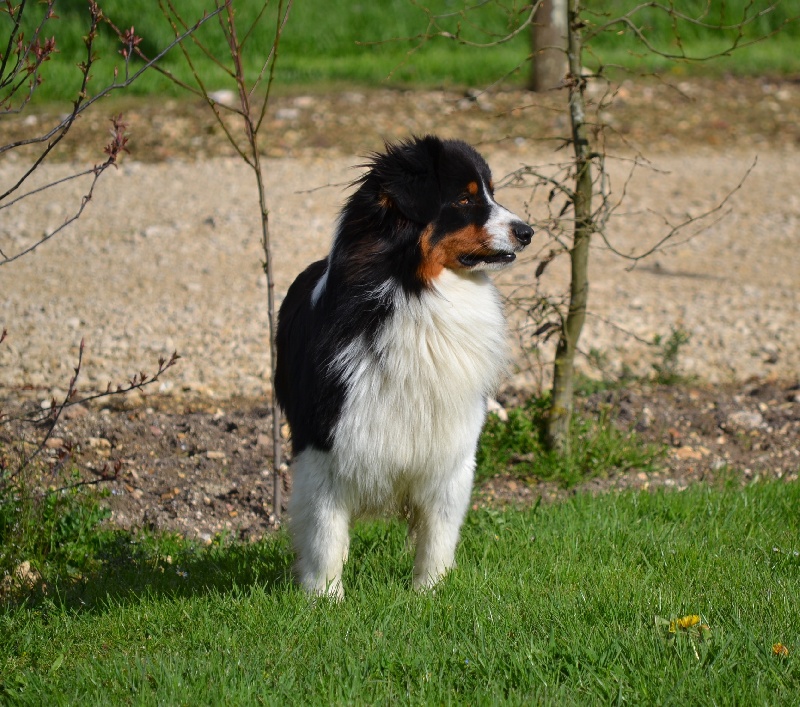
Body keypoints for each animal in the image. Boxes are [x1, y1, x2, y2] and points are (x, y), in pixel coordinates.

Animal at [274, 137, 532, 596]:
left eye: (490, 193)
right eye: (464, 198)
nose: (528, 232)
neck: (417, 294)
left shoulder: (451, 448)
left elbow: (438, 529)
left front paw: (430, 591)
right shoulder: (325, 444)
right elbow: (324, 530)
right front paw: (324, 597)